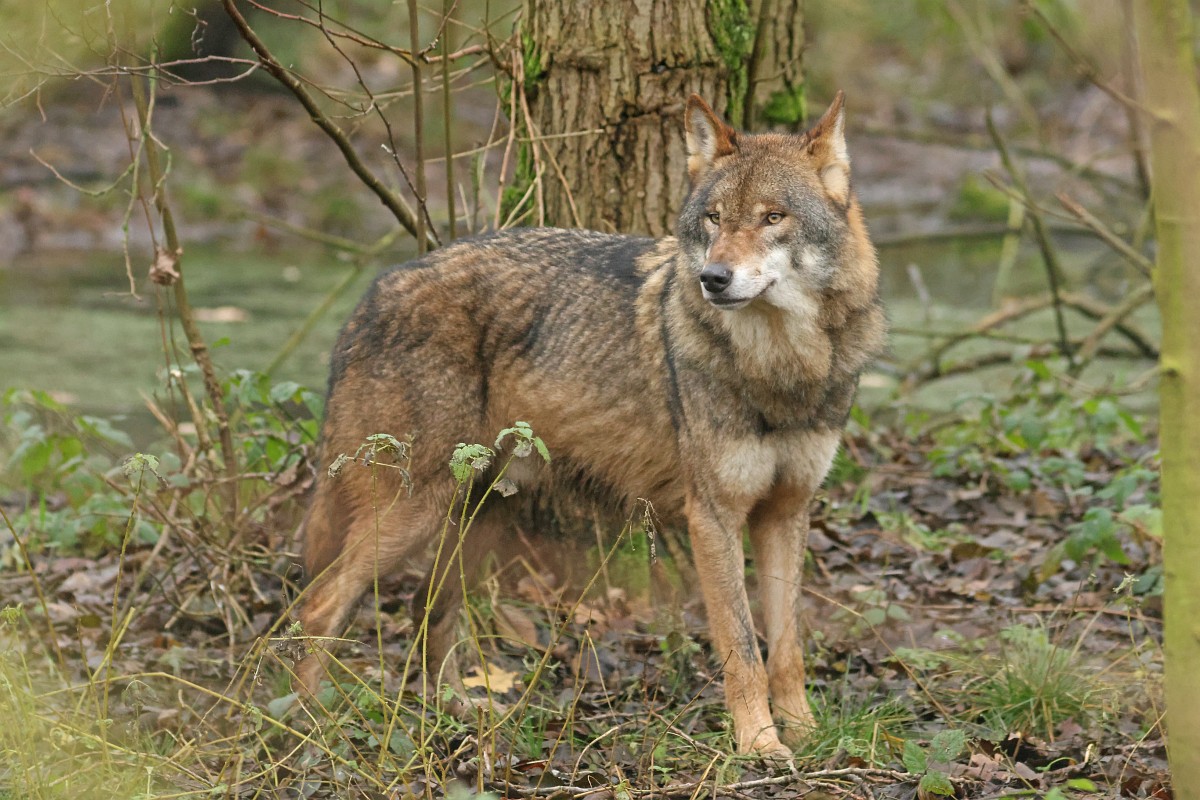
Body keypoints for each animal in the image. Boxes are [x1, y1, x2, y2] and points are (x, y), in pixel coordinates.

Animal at [295, 92, 886, 758]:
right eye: (713, 219)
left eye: (772, 218)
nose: (713, 278)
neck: (781, 368)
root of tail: (373, 294)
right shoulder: (713, 517)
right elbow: (741, 648)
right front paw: (758, 744)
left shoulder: (786, 512)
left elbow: (786, 648)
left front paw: (805, 733)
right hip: (413, 513)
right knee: (319, 606)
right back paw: (310, 727)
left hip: (481, 514)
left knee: (426, 610)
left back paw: (455, 716)